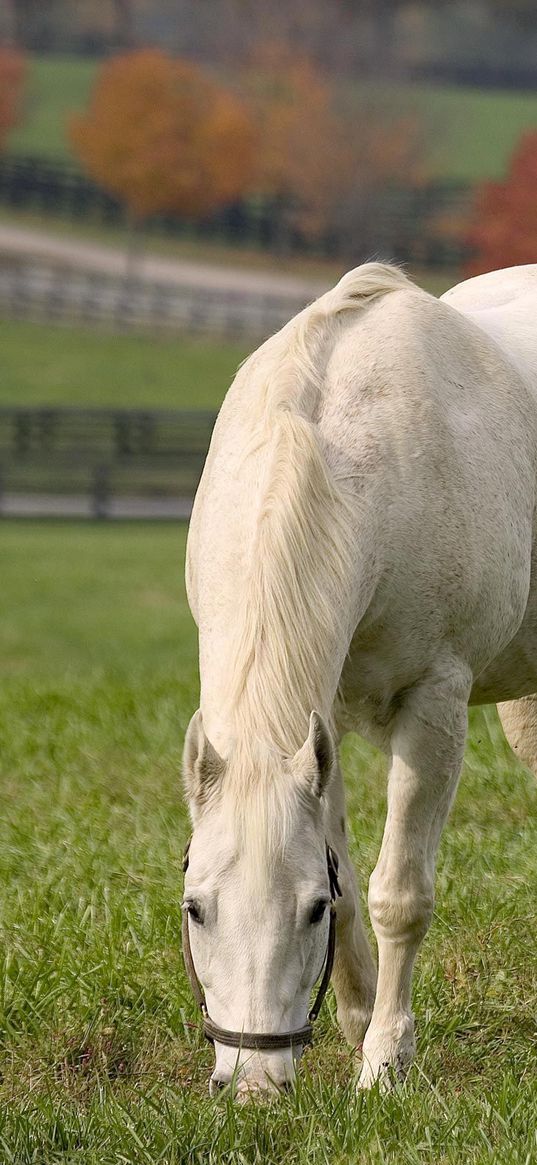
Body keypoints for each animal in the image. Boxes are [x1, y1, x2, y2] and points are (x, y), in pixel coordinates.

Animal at [181, 262, 535, 1090]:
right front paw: (354, 1019)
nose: (254, 1086)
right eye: (195, 908)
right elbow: (345, 866)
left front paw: (383, 1061)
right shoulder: (324, 718)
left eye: (305, 909)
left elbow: (397, 892)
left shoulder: (434, 705)